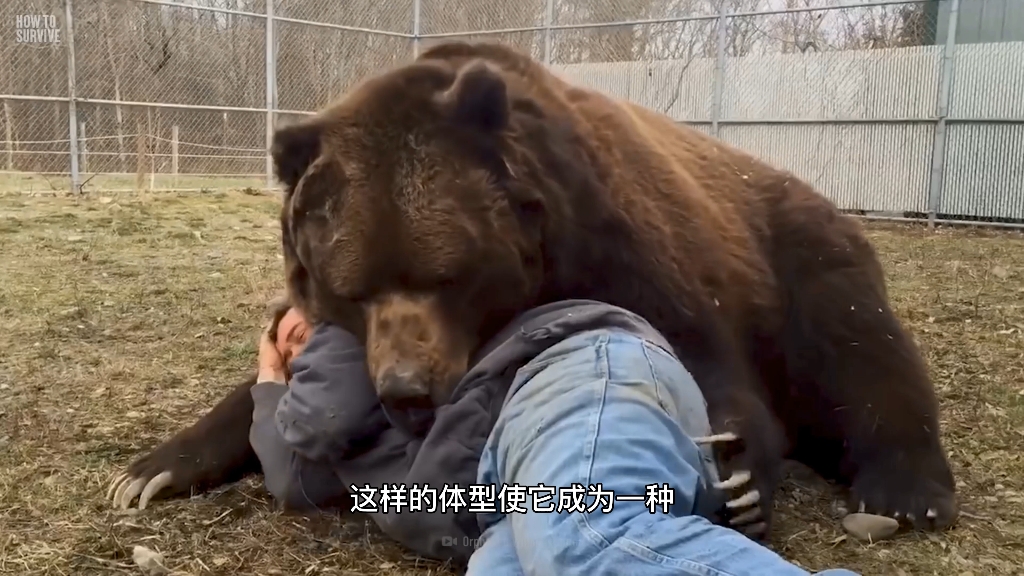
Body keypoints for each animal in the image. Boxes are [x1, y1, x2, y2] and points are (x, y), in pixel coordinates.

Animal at [108, 39, 954, 532]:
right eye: (354, 286)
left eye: (445, 273)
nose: (408, 388)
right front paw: (147, 471)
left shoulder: (619, 239)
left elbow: (698, 350)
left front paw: (738, 469)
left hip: (798, 253)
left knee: (859, 349)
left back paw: (903, 490)